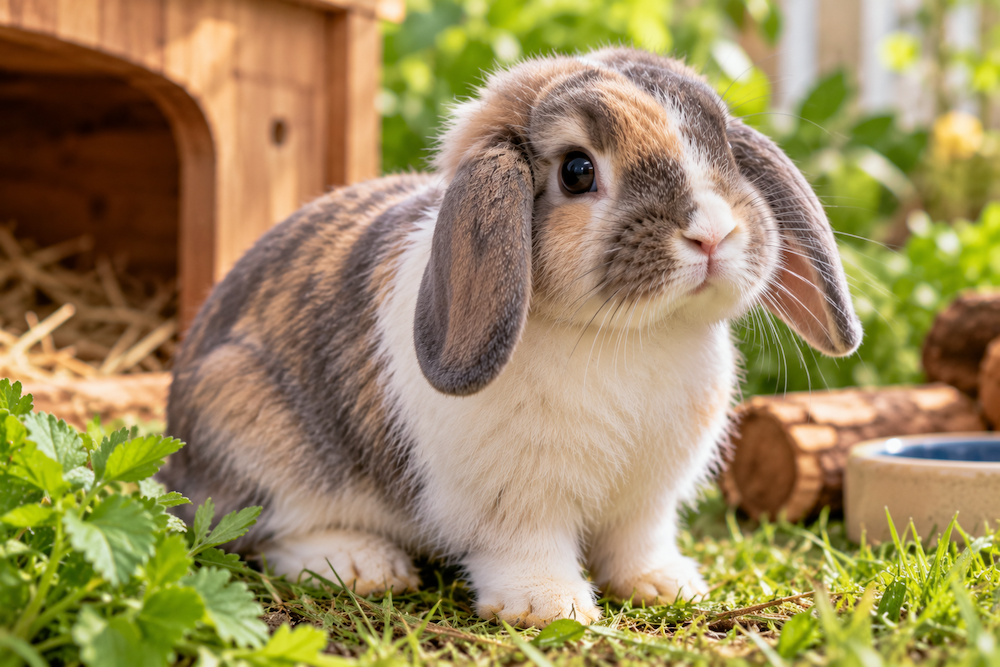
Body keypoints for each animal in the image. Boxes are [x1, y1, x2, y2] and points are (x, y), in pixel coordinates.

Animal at [159, 46, 861, 628]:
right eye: (577, 170)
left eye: (725, 153)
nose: (713, 234)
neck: (627, 334)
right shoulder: (515, 504)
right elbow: (526, 548)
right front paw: (548, 608)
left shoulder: (647, 500)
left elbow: (638, 542)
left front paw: (667, 586)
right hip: (254, 425)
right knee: (266, 527)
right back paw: (364, 566)